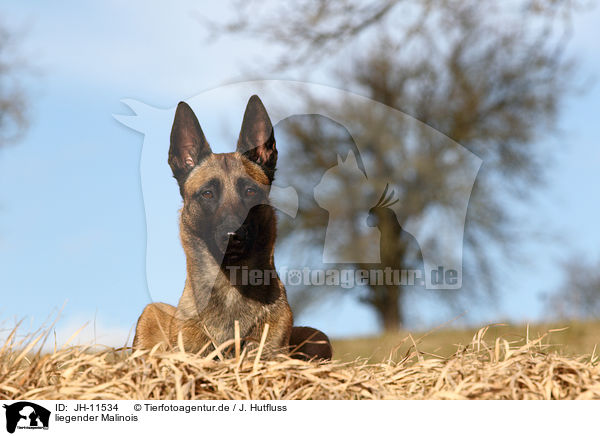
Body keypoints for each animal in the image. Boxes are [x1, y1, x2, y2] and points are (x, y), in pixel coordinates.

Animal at [132, 95, 332, 362]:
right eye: (207, 194)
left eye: (250, 192)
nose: (232, 236)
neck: (230, 285)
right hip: (151, 312)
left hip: (318, 336)